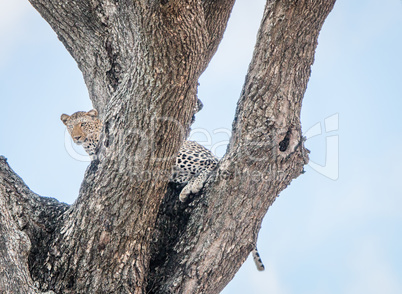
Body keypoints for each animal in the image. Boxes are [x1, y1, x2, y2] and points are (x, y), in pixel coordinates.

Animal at [60, 108, 264, 272]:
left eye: (83, 124)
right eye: (70, 127)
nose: (76, 138)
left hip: (179, 154)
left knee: (210, 163)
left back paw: (195, 184)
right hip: (175, 172)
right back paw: (187, 190)